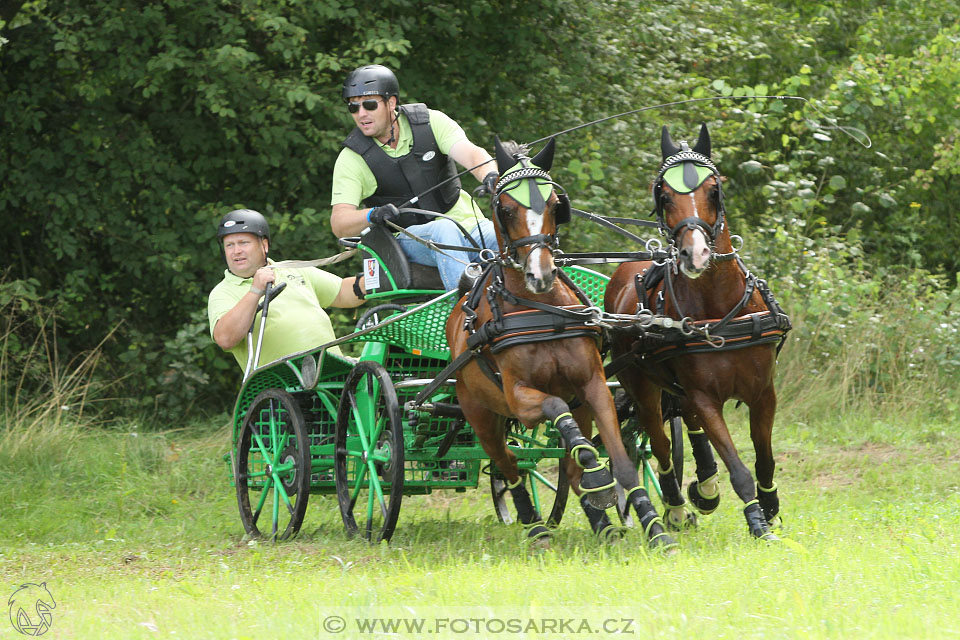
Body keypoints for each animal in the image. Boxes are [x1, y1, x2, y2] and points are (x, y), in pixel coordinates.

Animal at [444, 138, 676, 548]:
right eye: (506, 209)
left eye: (555, 204)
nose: (541, 274)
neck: (541, 311)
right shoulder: (520, 399)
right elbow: (554, 407)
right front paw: (597, 478)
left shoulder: (593, 386)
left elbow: (620, 462)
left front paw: (653, 528)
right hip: (479, 414)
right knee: (509, 466)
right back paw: (535, 526)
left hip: (575, 408)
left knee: (565, 466)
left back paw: (603, 525)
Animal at [608, 125, 788, 540]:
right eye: (664, 196)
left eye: (713, 191)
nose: (697, 255)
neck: (720, 307)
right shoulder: (706, 399)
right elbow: (738, 466)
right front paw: (758, 524)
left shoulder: (764, 392)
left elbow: (764, 458)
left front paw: (770, 507)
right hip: (642, 386)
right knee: (658, 444)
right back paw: (675, 507)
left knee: (685, 424)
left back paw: (705, 487)